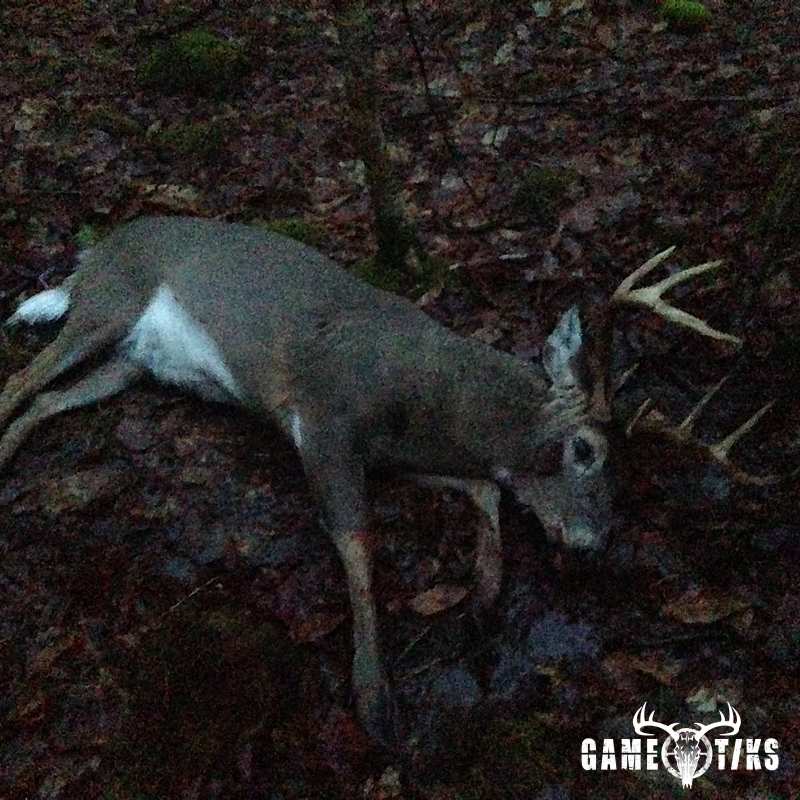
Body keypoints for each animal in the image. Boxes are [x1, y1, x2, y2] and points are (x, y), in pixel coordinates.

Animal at [0, 216, 775, 746]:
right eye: (586, 451)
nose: (594, 542)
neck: (429, 399)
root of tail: (94, 250)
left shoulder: (402, 453)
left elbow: (485, 489)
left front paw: (482, 598)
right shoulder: (324, 418)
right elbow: (358, 543)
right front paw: (375, 698)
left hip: (131, 363)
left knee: (44, 399)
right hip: (108, 305)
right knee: (20, 377)